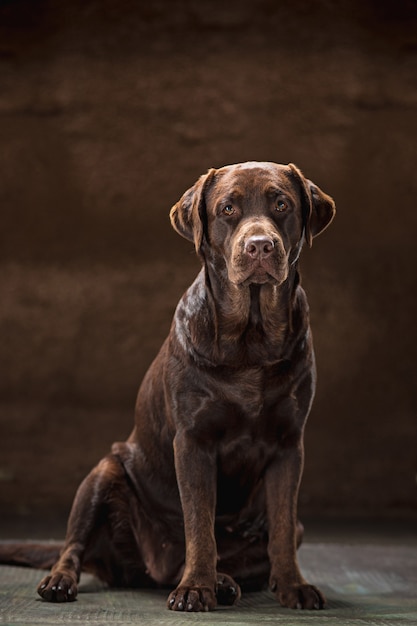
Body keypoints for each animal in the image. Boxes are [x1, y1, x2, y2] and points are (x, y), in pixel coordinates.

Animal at [0, 160, 334, 608]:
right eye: (228, 209)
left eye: (282, 204)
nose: (260, 246)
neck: (251, 339)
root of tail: (148, 568)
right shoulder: (192, 441)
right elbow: (199, 523)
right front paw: (195, 588)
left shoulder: (288, 445)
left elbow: (280, 525)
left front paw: (293, 586)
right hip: (104, 471)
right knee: (73, 545)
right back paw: (62, 580)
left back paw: (223, 581)